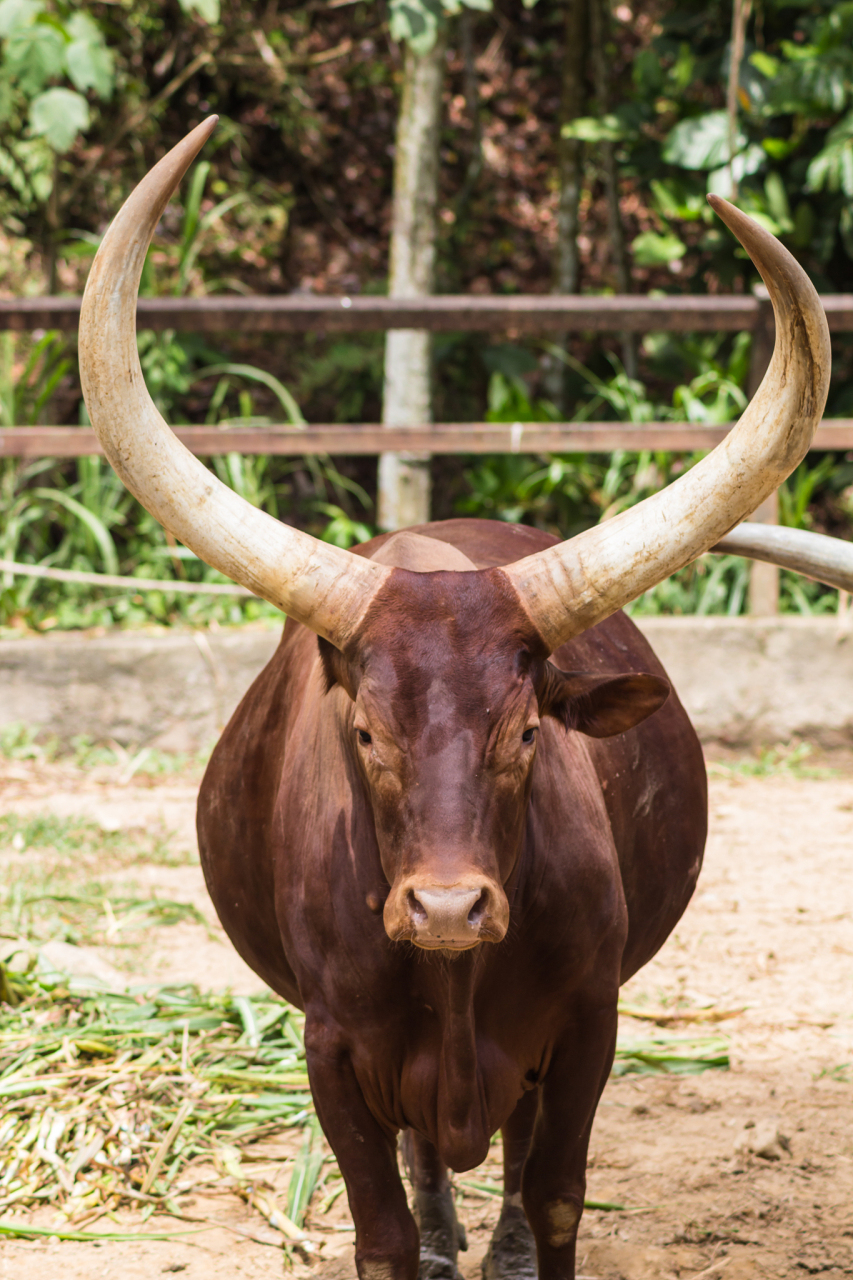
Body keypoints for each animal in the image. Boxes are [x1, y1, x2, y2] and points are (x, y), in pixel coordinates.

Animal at [76, 122, 824, 1280]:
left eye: (525, 731)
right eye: (364, 731)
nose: (445, 909)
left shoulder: (589, 1023)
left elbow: (557, 1193)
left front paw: (524, 1241)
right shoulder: (331, 1048)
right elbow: (377, 1226)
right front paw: (418, 1237)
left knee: (513, 1151)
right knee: (428, 1153)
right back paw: (444, 1231)